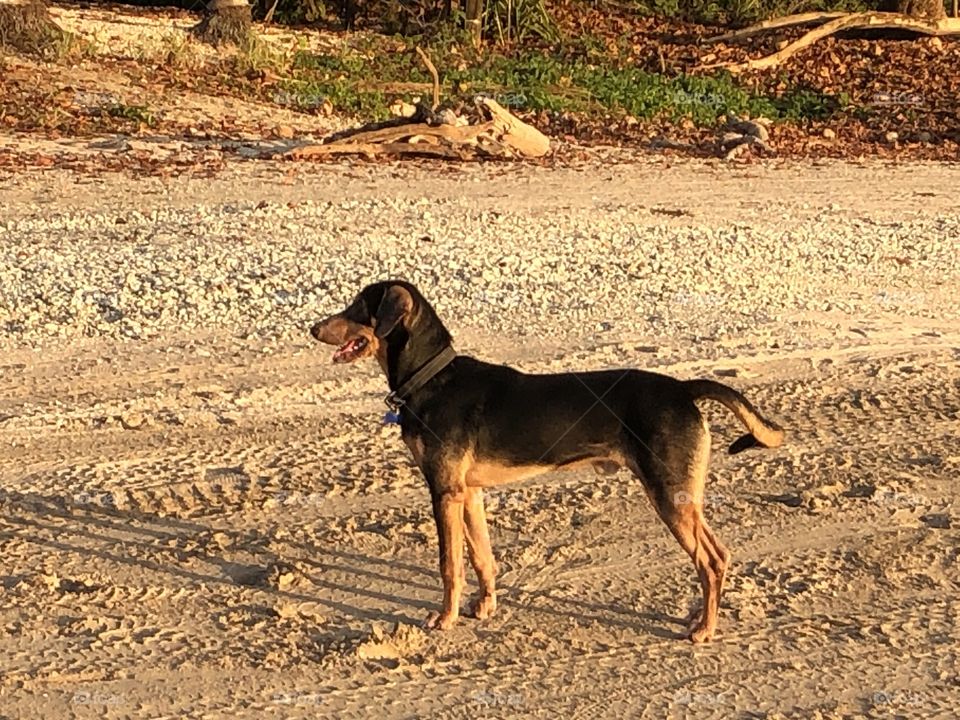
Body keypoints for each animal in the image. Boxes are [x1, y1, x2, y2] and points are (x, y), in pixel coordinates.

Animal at [312, 280, 784, 640]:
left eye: (358, 307)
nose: (313, 328)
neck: (432, 378)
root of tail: (684, 389)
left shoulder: (443, 492)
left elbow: (450, 565)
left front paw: (444, 618)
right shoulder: (469, 493)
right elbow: (482, 556)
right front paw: (484, 607)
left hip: (671, 497)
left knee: (712, 560)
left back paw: (704, 629)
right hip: (681, 499)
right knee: (715, 558)